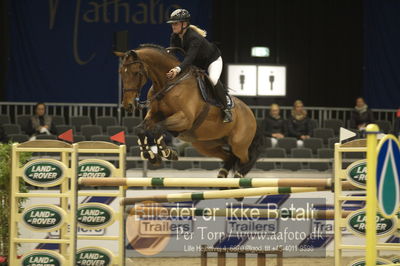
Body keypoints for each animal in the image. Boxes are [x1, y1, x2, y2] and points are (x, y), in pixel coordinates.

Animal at [114, 44, 264, 179]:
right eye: (121, 72)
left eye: (136, 73)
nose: (128, 105)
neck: (168, 84)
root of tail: (251, 113)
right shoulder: (155, 115)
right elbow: (140, 129)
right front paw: (151, 156)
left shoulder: (184, 119)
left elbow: (158, 128)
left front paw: (167, 152)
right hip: (207, 145)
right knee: (230, 157)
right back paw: (222, 177)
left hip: (239, 144)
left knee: (246, 159)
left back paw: (238, 178)